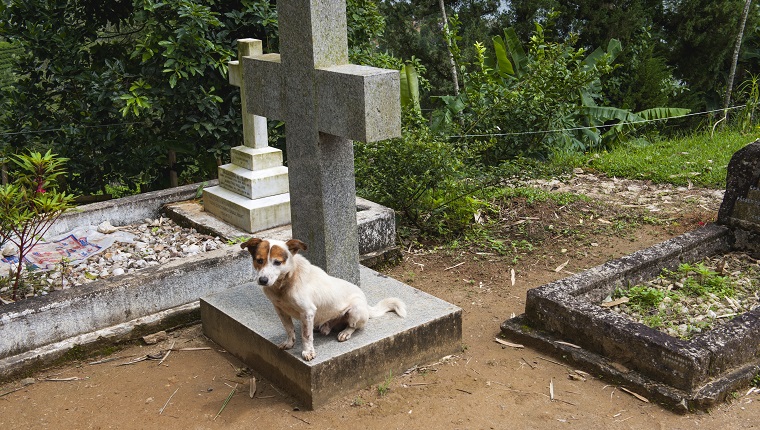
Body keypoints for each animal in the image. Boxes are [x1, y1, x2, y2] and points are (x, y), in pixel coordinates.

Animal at [242, 237, 410, 362]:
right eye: (259, 260)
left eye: (277, 262)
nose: (263, 280)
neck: (284, 285)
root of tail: (366, 303)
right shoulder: (280, 310)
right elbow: (289, 329)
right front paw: (289, 343)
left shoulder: (307, 312)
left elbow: (306, 336)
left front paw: (308, 352)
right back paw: (322, 327)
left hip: (355, 311)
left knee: (354, 326)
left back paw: (345, 333)